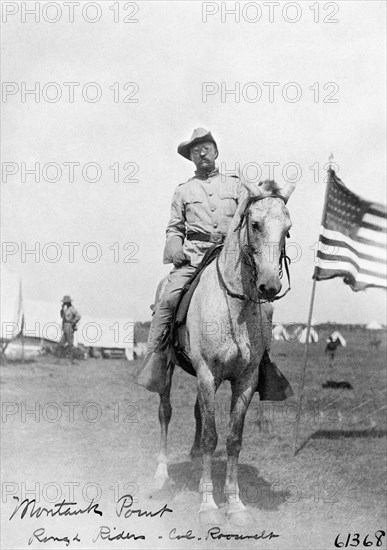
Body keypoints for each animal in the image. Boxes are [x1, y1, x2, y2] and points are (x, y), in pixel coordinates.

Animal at [153, 179, 296, 528]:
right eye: (255, 224)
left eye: (287, 229)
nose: (269, 286)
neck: (234, 306)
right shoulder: (207, 374)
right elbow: (210, 437)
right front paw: (208, 504)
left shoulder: (244, 380)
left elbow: (232, 439)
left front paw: (235, 504)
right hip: (167, 370)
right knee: (165, 413)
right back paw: (161, 474)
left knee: (197, 414)